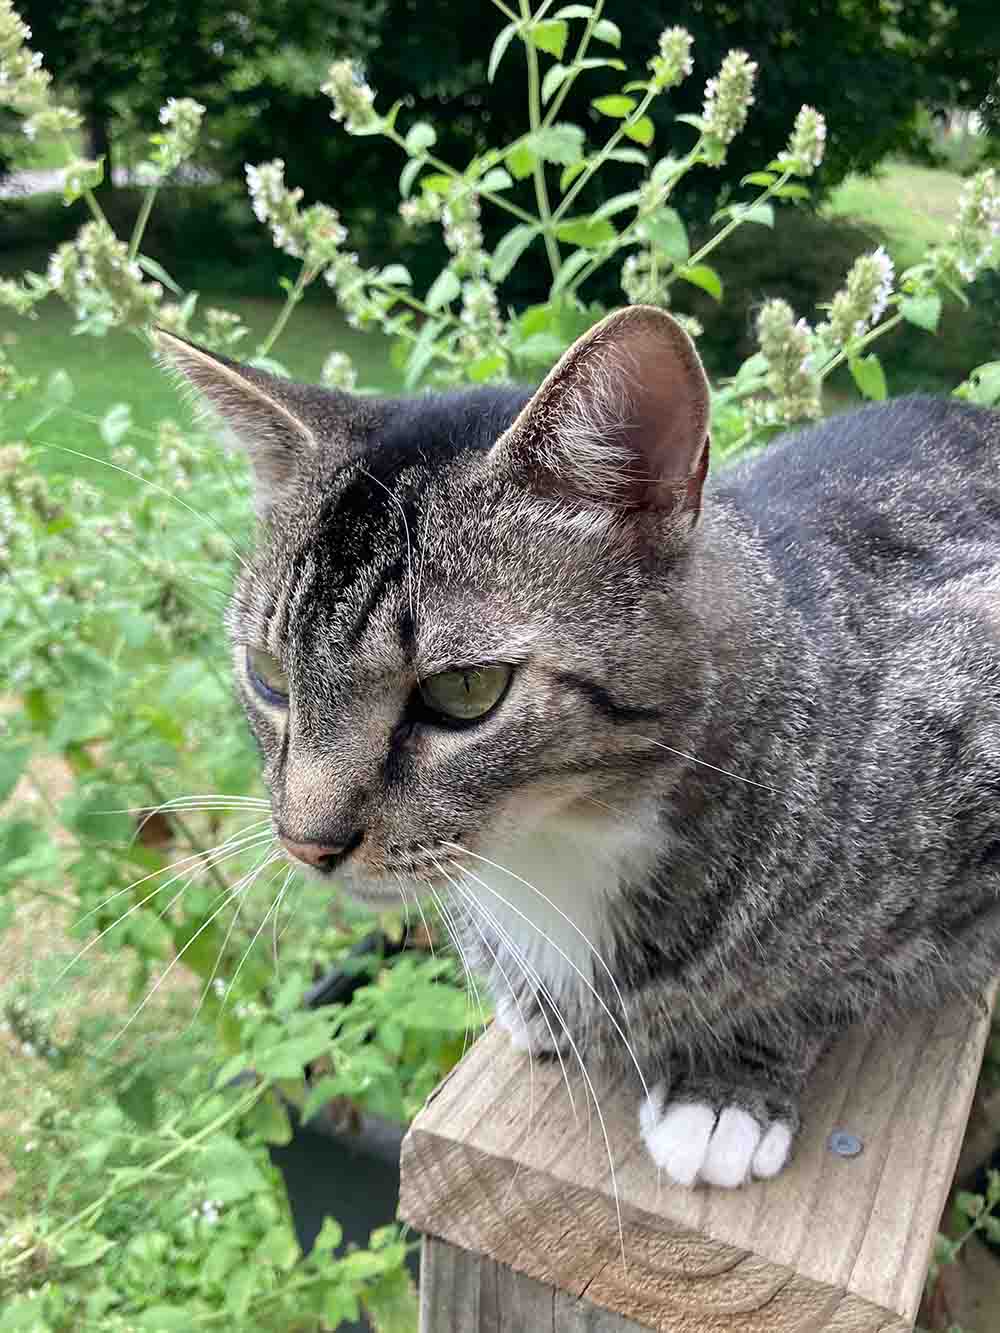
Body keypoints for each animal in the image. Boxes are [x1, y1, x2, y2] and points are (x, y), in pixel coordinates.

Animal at [154, 309, 1000, 1189]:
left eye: (464, 691)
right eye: (268, 673)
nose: (306, 842)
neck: (563, 843)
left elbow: (823, 980)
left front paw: (727, 1084)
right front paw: (536, 998)